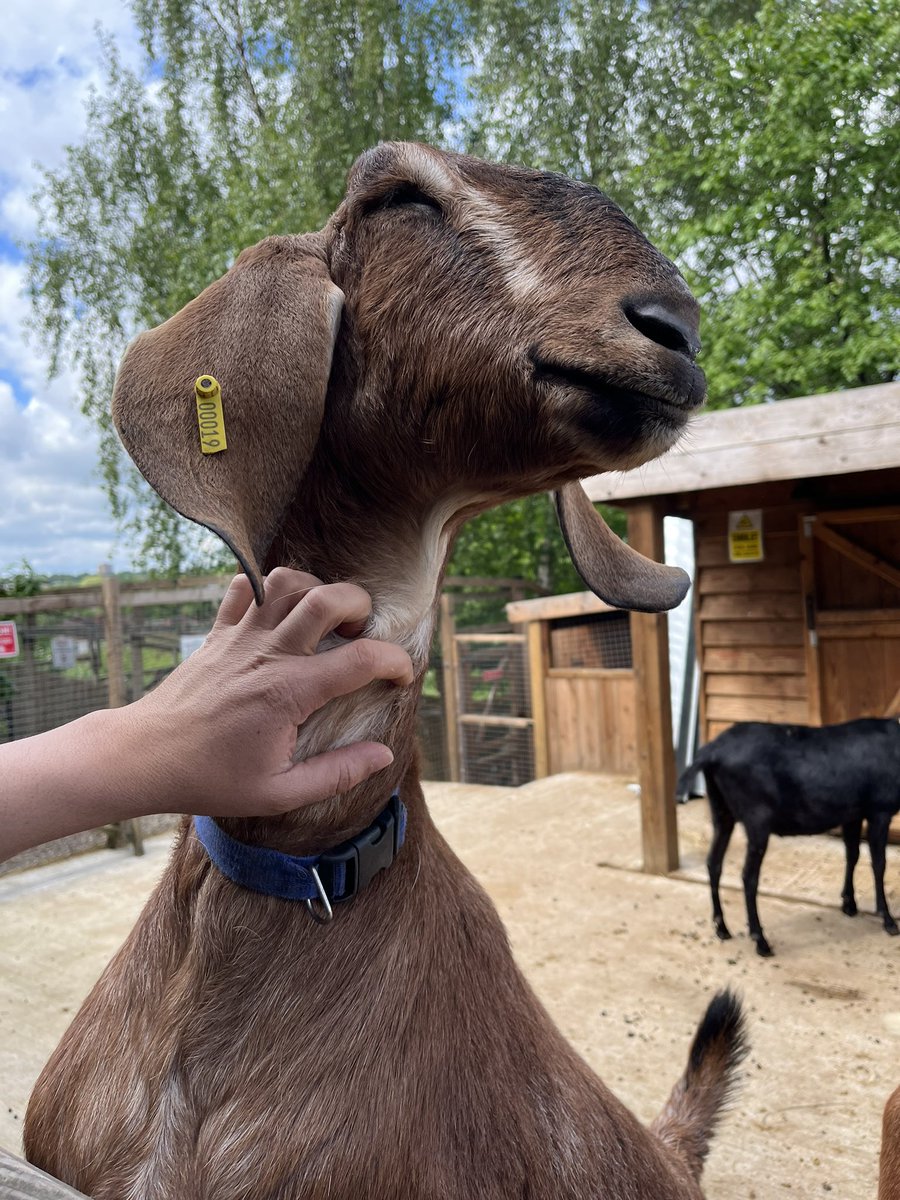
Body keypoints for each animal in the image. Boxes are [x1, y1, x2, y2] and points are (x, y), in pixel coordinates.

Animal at [678, 718, 900, 957]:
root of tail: (711, 752)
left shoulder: (854, 813)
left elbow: (852, 854)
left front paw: (849, 904)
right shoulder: (879, 810)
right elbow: (879, 864)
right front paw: (888, 919)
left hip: (721, 810)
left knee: (714, 863)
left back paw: (722, 928)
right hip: (757, 819)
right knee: (748, 877)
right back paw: (760, 941)